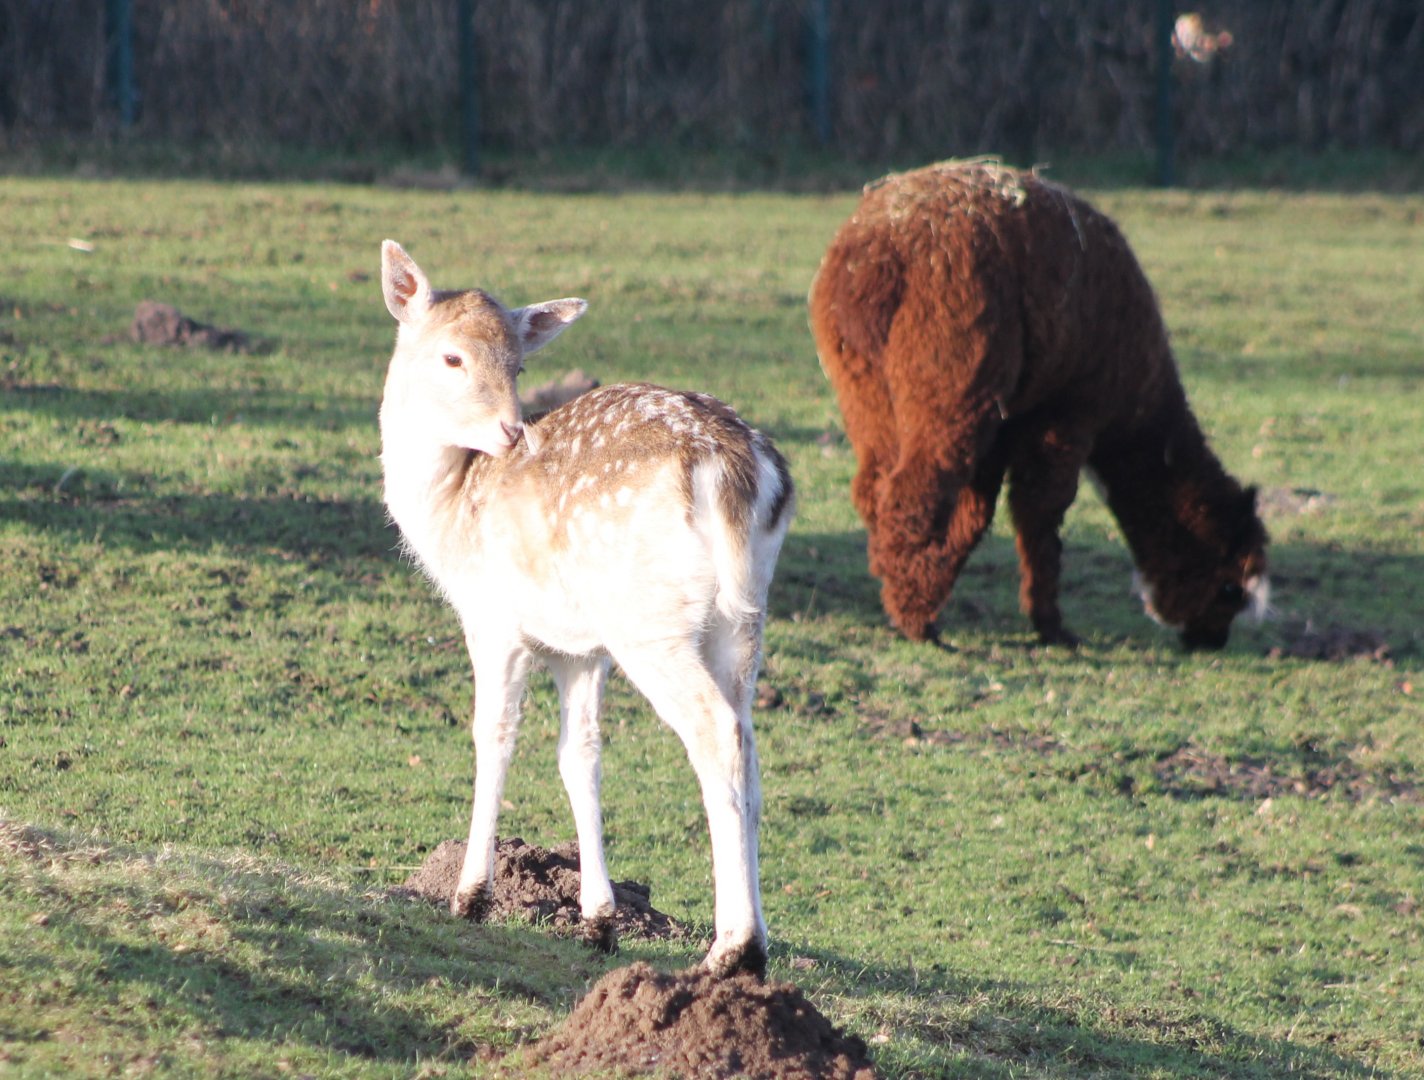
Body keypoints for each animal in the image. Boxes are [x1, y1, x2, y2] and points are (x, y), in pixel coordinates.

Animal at [377, 241, 794, 977]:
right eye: (453, 357)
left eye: (519, 363)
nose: (511, 430)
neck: (448, 511)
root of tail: (738, 469)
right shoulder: (580, 649)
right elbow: (582, 754)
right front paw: (598, 921)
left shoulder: (494, 619)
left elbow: (494, 735)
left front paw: (470, 896)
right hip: (744, 617)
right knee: (749, 743)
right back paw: (757, 942)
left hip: (650, 623)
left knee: (715, 733)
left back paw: (732, 949)